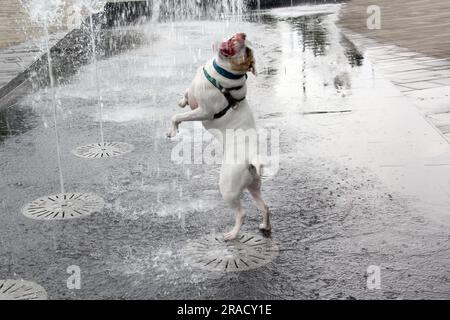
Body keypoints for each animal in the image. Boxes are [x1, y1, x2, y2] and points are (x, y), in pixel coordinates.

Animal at [166, 33, 268, 240]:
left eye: (247, 51)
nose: (242, 34)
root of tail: (251, 157)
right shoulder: (194, 93)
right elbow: (186, 94)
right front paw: (182, 101)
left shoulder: (203, 112)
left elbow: (178, 116)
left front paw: (173, 129)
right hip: (253, 186)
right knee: (265, 207)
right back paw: (264, 226)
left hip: (228, 188)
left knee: (242, 212)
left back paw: (232, 234)